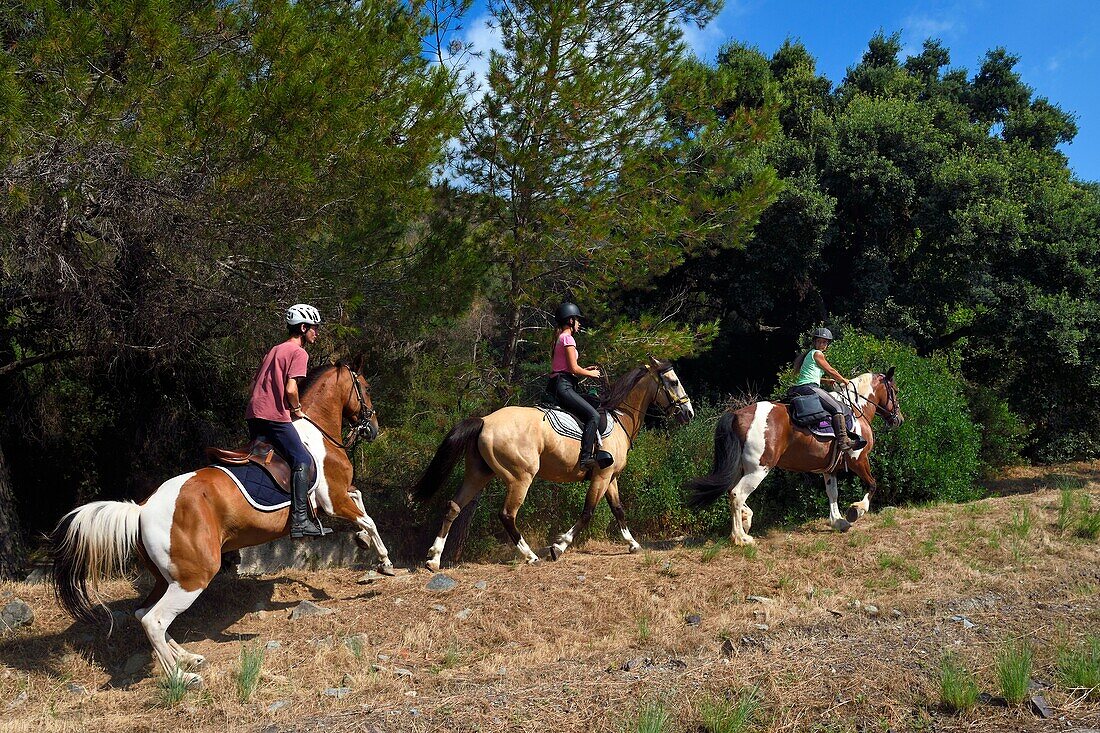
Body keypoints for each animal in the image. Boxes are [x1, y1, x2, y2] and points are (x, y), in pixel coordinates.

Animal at [52, 358, 396, 686]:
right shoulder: (331, 499)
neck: (317, 434)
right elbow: (369, 520)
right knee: (154, 620)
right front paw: (384, 561)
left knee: (142, 612)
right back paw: (181, 677)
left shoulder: (340, 495)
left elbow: (361, 500)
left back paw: (187, 657)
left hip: (168, 577)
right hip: (194, 577)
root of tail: (142, 509)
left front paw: (363, 542)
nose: (373, 428)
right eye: (365, 388)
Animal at [415, 356, 690, 567]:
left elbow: (618, 510)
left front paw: (633, 544)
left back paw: (434, 558)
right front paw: (559, 547)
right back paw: (530, 556)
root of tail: (484, 420)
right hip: (520, 478)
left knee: (454, 507)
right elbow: (587, 513)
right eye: (674, 382)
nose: (689, 413)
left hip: (478, 474)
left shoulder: (610, 477)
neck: (621, 418)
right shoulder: (601, 477)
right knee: (507, 515)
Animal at [686, 367, 902, 539]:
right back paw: (741, 538)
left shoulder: (829, 469)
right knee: (737, 494)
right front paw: (856, 511)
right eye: (895, 391)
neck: (856, 409)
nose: (899, 419)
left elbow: (832, 493)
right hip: (759, 469)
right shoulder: (859, 460)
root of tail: (737, 414)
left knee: (731, 492)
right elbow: (873, 485)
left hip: (741, 468)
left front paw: (838, 521)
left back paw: (746, 520)